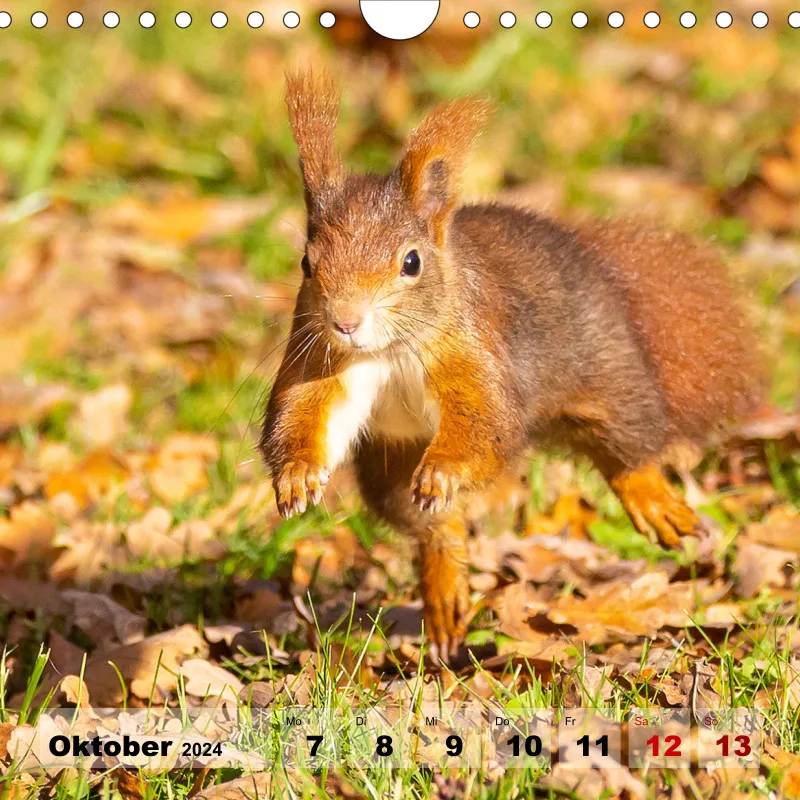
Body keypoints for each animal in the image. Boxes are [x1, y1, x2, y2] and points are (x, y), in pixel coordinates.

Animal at [261, 69, 764, 660]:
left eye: (411, 262)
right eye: (306, 263)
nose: (345, 321)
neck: (387, 352)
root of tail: (601, 268)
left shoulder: (474, 354)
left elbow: (486, 421)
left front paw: (444, 469)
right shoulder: (317, 358)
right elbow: (302, 412)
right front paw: (296, 476)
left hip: (609, 376)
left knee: (628, 448)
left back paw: (653, 501)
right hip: (390, 464)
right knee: (432, 524)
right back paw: (445, 585)